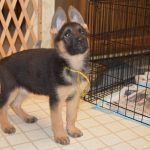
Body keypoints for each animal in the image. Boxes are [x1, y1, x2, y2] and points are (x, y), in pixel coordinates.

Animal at [0, 6, 89, 145]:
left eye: (83, 32)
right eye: (67, 35)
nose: (81, 40)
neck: (70, 64)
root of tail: (4, 59)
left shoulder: (74, 97)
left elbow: (71, 115)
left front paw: (71, 129)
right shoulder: (56, 100)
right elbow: (58, 120)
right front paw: (60, 136)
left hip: (25, 88)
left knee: (14, 105)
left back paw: (27, 117)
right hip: (10, 90)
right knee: (3, 107)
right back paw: (6, 126)